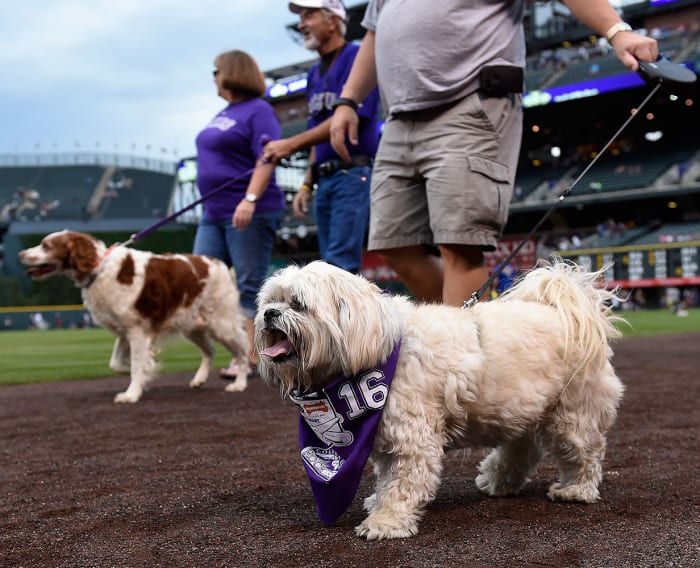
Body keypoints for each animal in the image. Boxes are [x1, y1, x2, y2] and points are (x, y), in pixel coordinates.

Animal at [254, 260, 628, 540]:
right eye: (270, 300)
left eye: (298, 304)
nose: (270, 313)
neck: (381, 347)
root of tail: (567, 310)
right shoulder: (386, 437)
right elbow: (387, 478)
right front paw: (379, 503)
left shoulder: (411, 440)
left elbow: (403, 483)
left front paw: (386, 521)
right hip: (518, 408)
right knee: (523, 448)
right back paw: (499, 479)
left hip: (573, 414)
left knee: (585, 453)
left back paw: (575, 490)